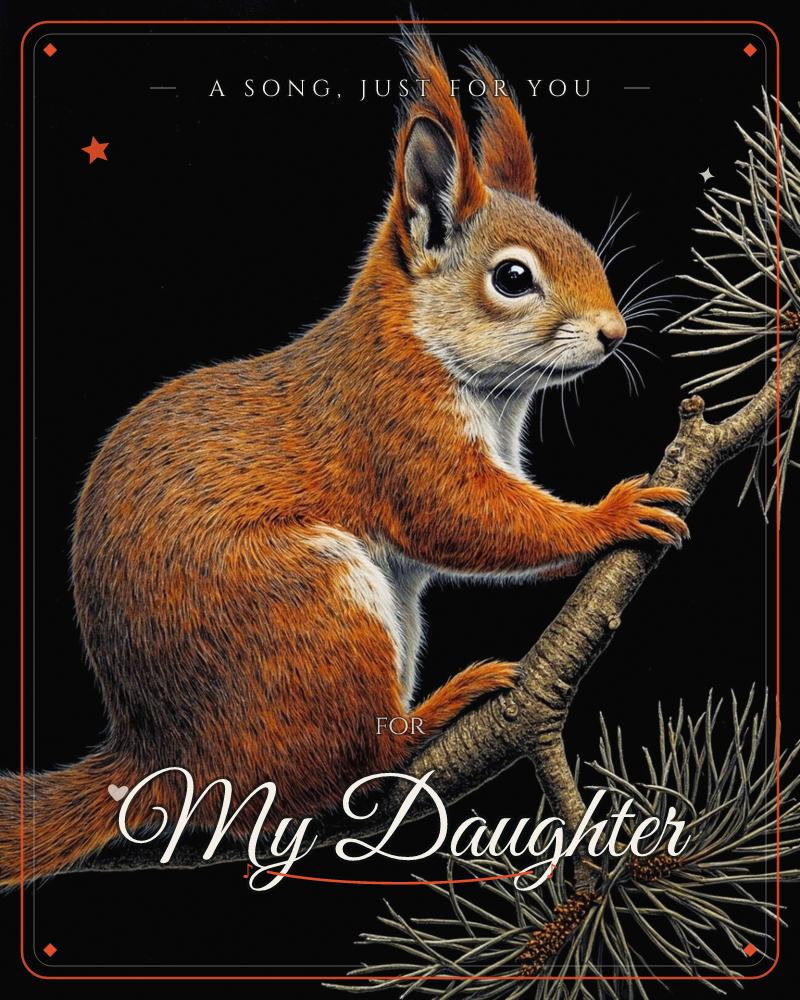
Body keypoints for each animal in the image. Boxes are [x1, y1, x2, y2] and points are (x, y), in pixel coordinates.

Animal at [1, 27, 688, 887]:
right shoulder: (393, 432)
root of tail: (160, 757)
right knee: (355, 763)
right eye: (512, 277)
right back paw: (444, 706)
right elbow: (469, 520)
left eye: (587, 247)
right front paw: (613, 512)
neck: (429, 352)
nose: (614, 333)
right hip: (316, 611)